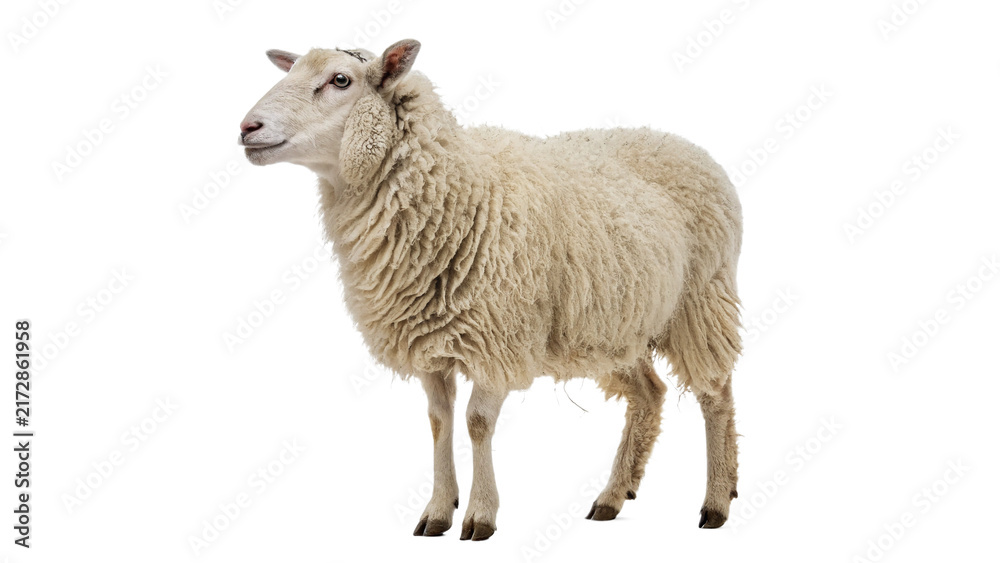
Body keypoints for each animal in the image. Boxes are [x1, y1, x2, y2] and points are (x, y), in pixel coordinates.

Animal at [239, 39, 743, 540]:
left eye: (340, 80)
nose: (247, 128)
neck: (456, 192)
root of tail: (680, 143)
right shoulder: (428, 344)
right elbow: (439, 423)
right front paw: (438, 510)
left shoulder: (497, 336)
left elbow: (477, 423)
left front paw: (480, 514)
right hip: (615, 323)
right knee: (649, 393)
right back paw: (613, 497)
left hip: (702, 300)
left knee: (715, 395)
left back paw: (717, 500)